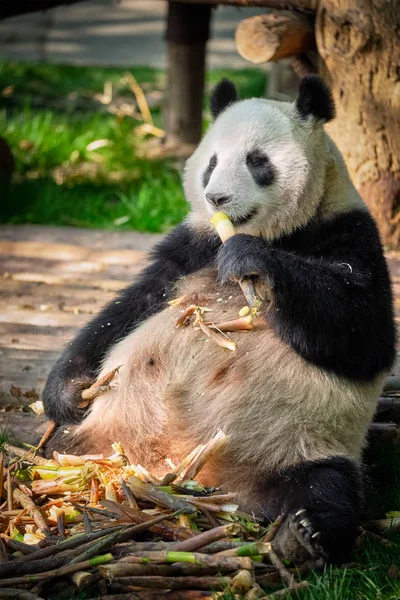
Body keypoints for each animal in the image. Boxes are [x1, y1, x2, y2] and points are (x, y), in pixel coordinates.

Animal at [42, 76, 396, 568]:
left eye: (257, 162)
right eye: (211, 163)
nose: (216, 198)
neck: (279, 233)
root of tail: (182, 473)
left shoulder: (350, 234)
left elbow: (363, 333)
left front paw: (252, 260)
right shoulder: (192, 246)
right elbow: (128, 308)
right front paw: (68, 390)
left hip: (299, 443)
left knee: (326, 487)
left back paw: (306, 534)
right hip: (96, 439)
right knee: (56, 449)